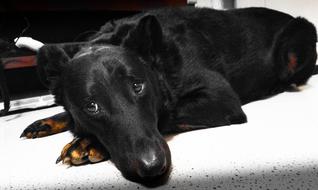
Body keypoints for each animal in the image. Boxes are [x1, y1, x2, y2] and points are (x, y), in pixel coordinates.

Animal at [21, 7, 316, 184]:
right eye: (91, 106)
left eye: (138, 87)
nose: (152, 168)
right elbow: (68, 114)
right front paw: (49, 122)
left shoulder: (220, 97)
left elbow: (166, 113)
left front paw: (87, 143)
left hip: (297, 40)